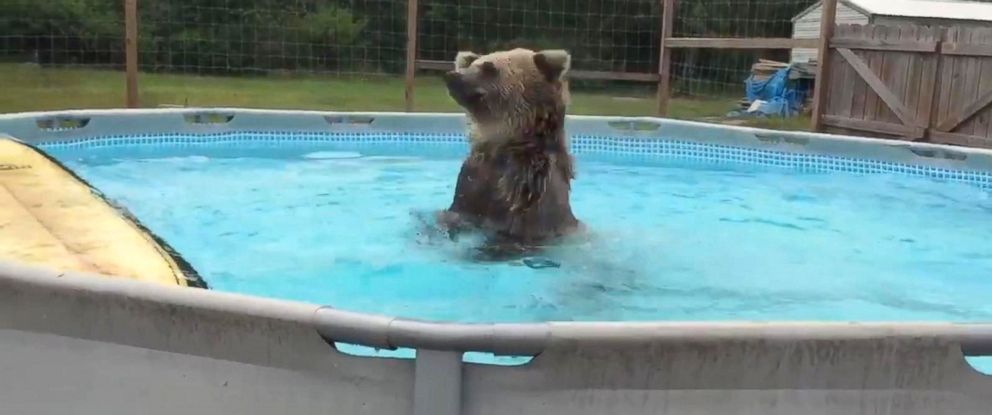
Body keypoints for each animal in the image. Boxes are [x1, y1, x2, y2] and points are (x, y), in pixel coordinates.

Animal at [434, 47, 580, 258]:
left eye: (489, 68)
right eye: (471, 64)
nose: (452, 76)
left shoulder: (527, 194)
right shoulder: (471, 183)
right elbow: (454, 213)